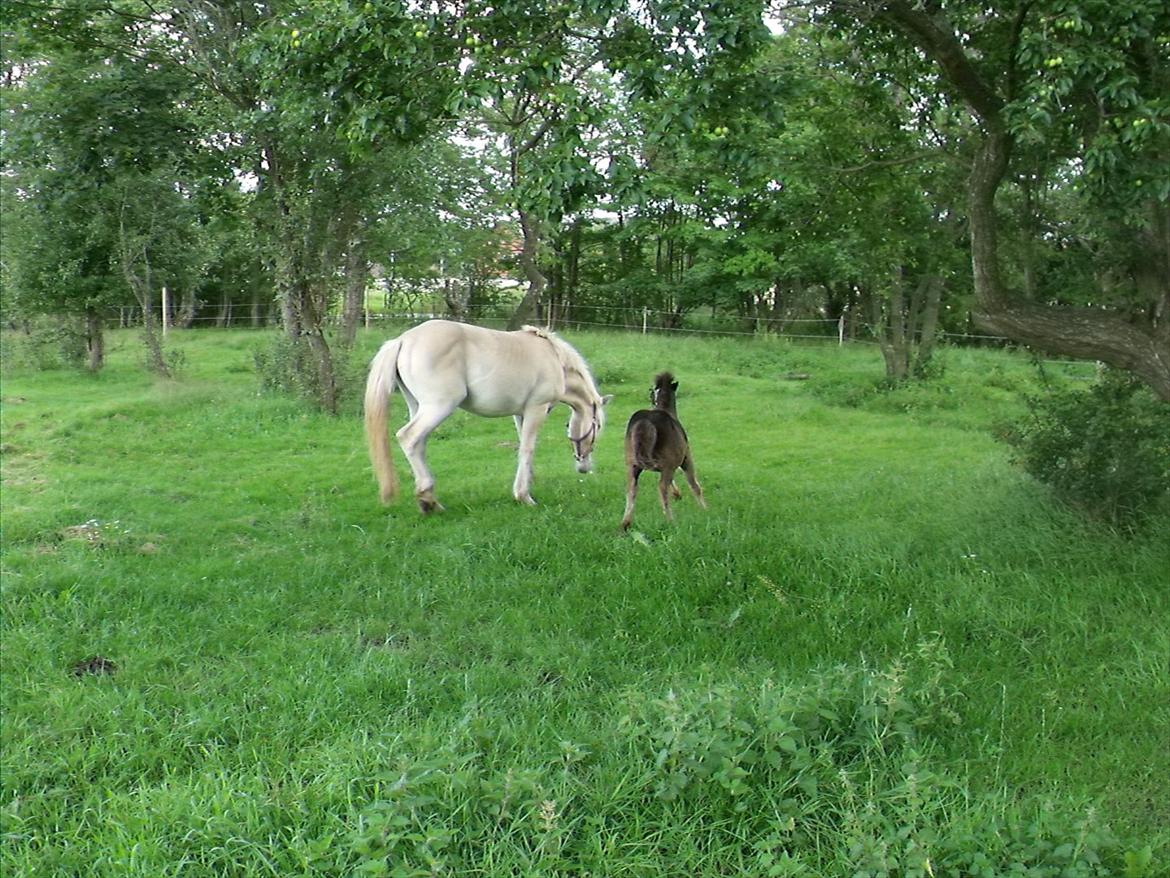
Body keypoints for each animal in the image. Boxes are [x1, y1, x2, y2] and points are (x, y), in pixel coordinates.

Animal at [362, 320, 613, 515]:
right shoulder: (536, 409)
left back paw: (430, 503)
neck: (555, 360)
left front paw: (529, 482)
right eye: (598, 426)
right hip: (438, 407)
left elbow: (524, 447)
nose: (585, 467)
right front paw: (524, 496)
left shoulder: (520, 414)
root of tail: (403, 340)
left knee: (419, 445)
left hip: (418, 406)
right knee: (408, 437)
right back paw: (427, 498)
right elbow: (528, 448)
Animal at [617, 369, 706, 529]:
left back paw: (625, 524)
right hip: (667, 465)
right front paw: (704, 509)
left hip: (632, 465)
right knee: (662, 488)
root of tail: (645, 421)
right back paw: (671, 520)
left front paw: (678, 494)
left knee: (631, 490)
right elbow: (694, 484)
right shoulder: (685, 458)